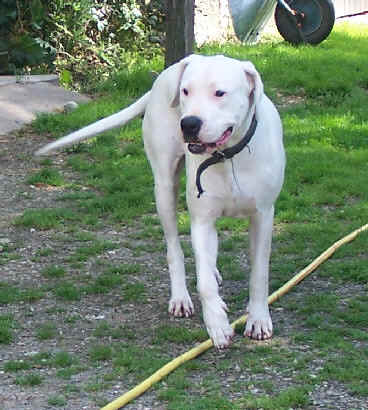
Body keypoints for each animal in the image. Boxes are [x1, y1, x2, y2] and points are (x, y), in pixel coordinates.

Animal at [36, 54, 284, 350]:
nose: (189, 123)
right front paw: (217, 323)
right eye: (186, 91)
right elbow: (203, 282)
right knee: (174, 249)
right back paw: (180, 297)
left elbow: (259, 273)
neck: (228, 156)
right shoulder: (201, 220)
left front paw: (257, 319)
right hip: (164, 189)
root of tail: (167, 71)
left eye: (220, 93)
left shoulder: (263, 216)